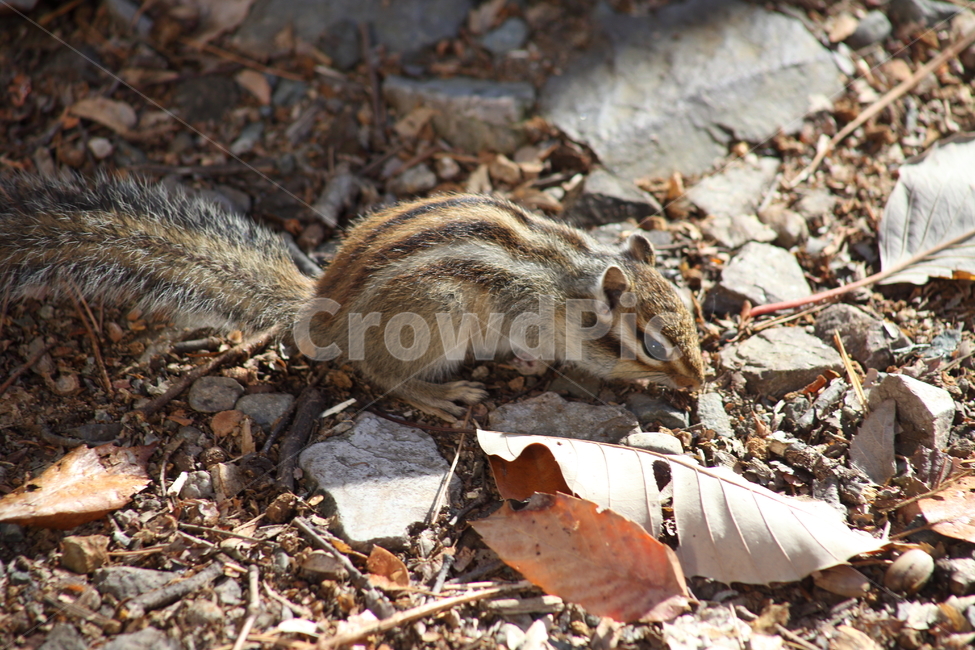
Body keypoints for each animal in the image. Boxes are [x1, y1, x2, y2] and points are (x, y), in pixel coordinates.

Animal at [0, 174, 705, 420]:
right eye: (651, 345)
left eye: (695, 312)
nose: (699, 383)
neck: (572, 286)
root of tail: (320, 310)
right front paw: (532, 365)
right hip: (439, 317)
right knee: (383, 374)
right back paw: (444, 394)